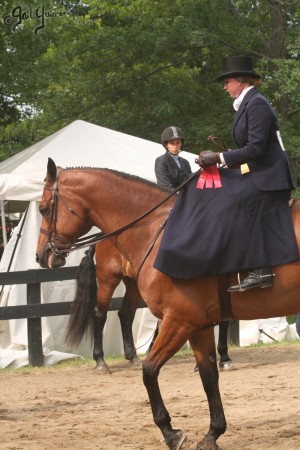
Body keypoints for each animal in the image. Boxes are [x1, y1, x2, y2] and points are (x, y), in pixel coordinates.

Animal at [67, 243, 233, 372]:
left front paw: (223, 358)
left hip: (133, 283)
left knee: (126, 314)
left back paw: (133, 358)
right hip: (108, 279)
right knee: (100, 315)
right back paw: (101, 361)